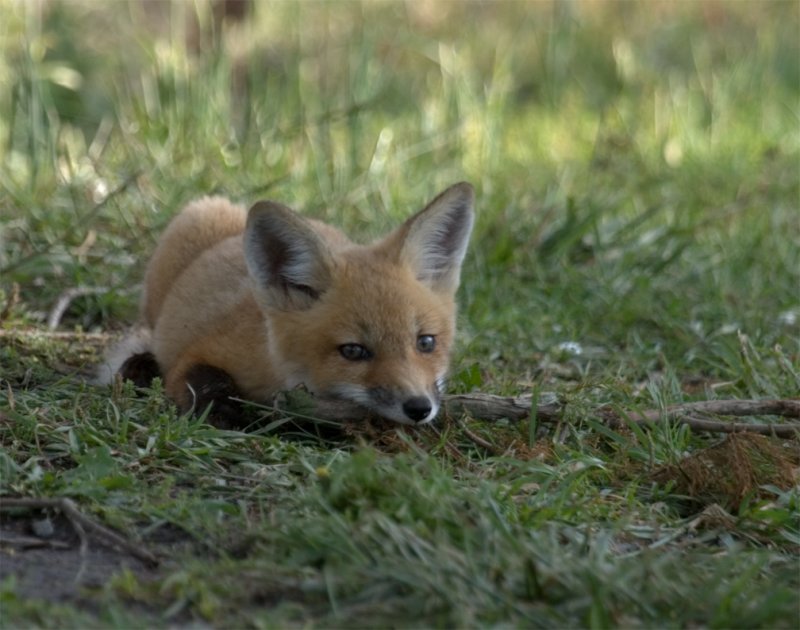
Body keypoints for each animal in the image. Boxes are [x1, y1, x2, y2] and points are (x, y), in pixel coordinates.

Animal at [100, 183, 476, 430]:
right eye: (353, 351)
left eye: (426, 342)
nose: (419, 408)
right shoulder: (197, 353)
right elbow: (204, 380)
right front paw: (224, 415)